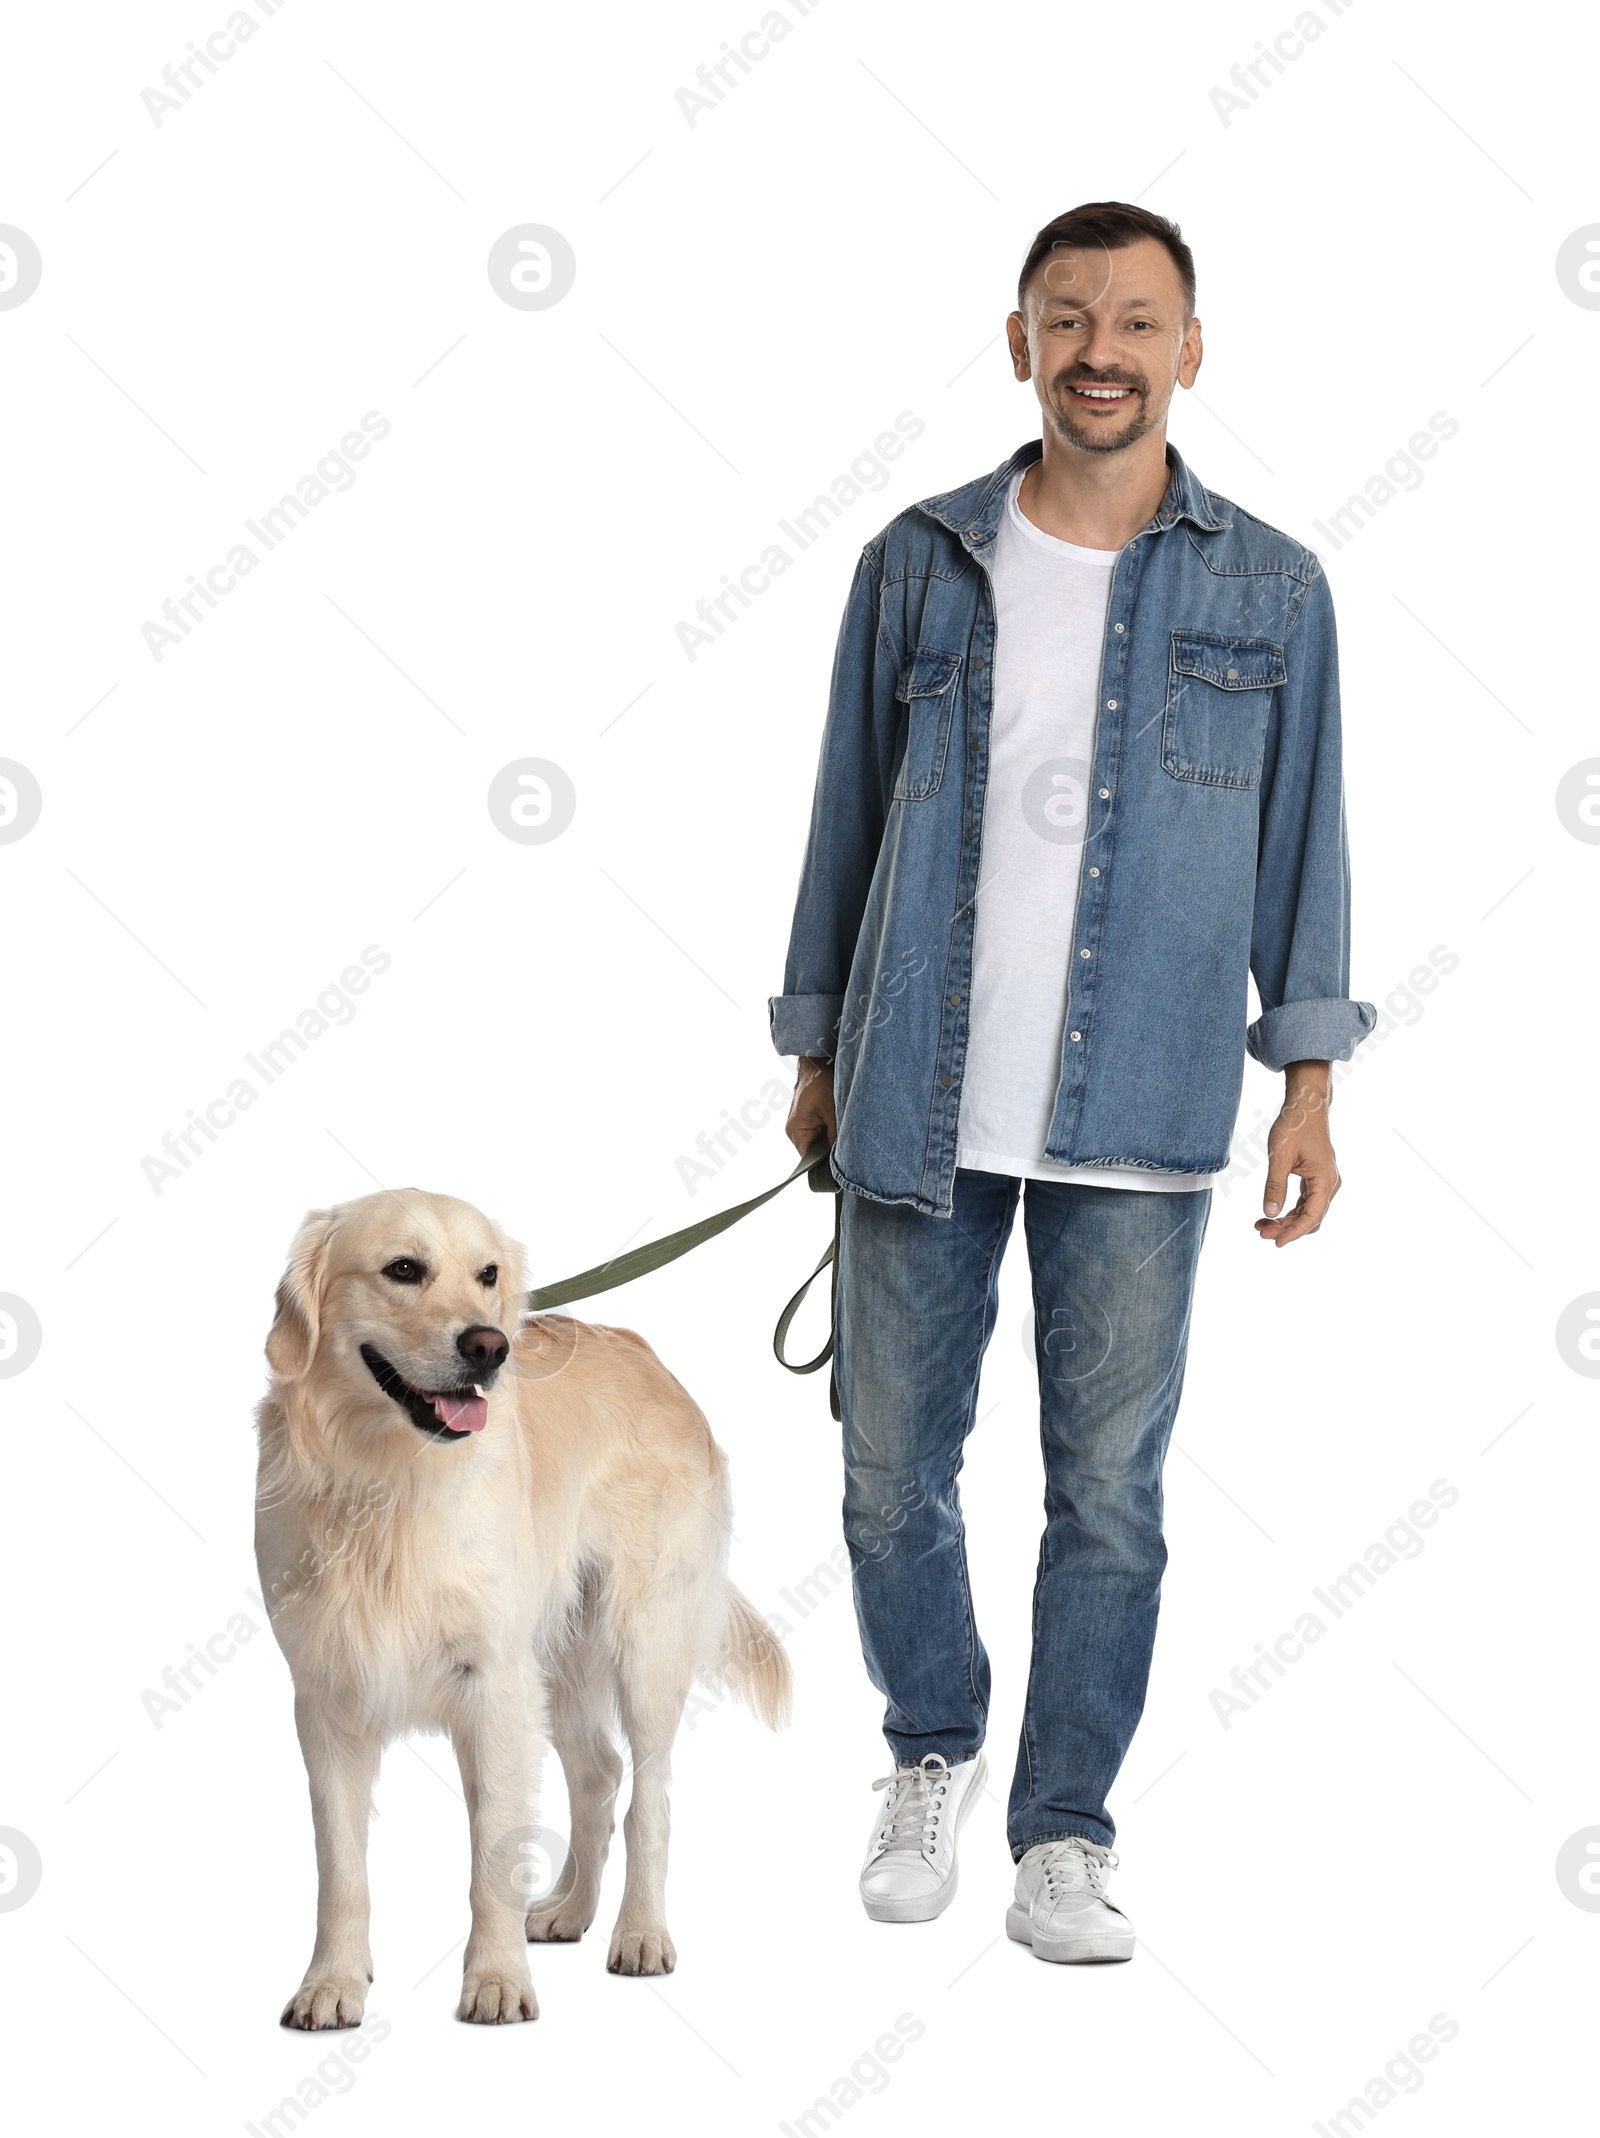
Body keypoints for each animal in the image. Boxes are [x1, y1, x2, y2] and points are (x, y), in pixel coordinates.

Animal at [254, 1197, 795, 2026]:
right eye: (402, 1269)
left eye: (488, 1274)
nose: (490, 1346)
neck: (385, 1478)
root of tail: (653, 1361)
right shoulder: (326, 1697)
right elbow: (340, 1869)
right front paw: (333, 1983)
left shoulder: (493, 1686)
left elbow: (493, 1856)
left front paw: (498, 1980)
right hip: (559, 1661)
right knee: (600, 1775)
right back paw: (570, 1910)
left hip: (643, 1644)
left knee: (649, 1798)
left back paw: (640, 1934)